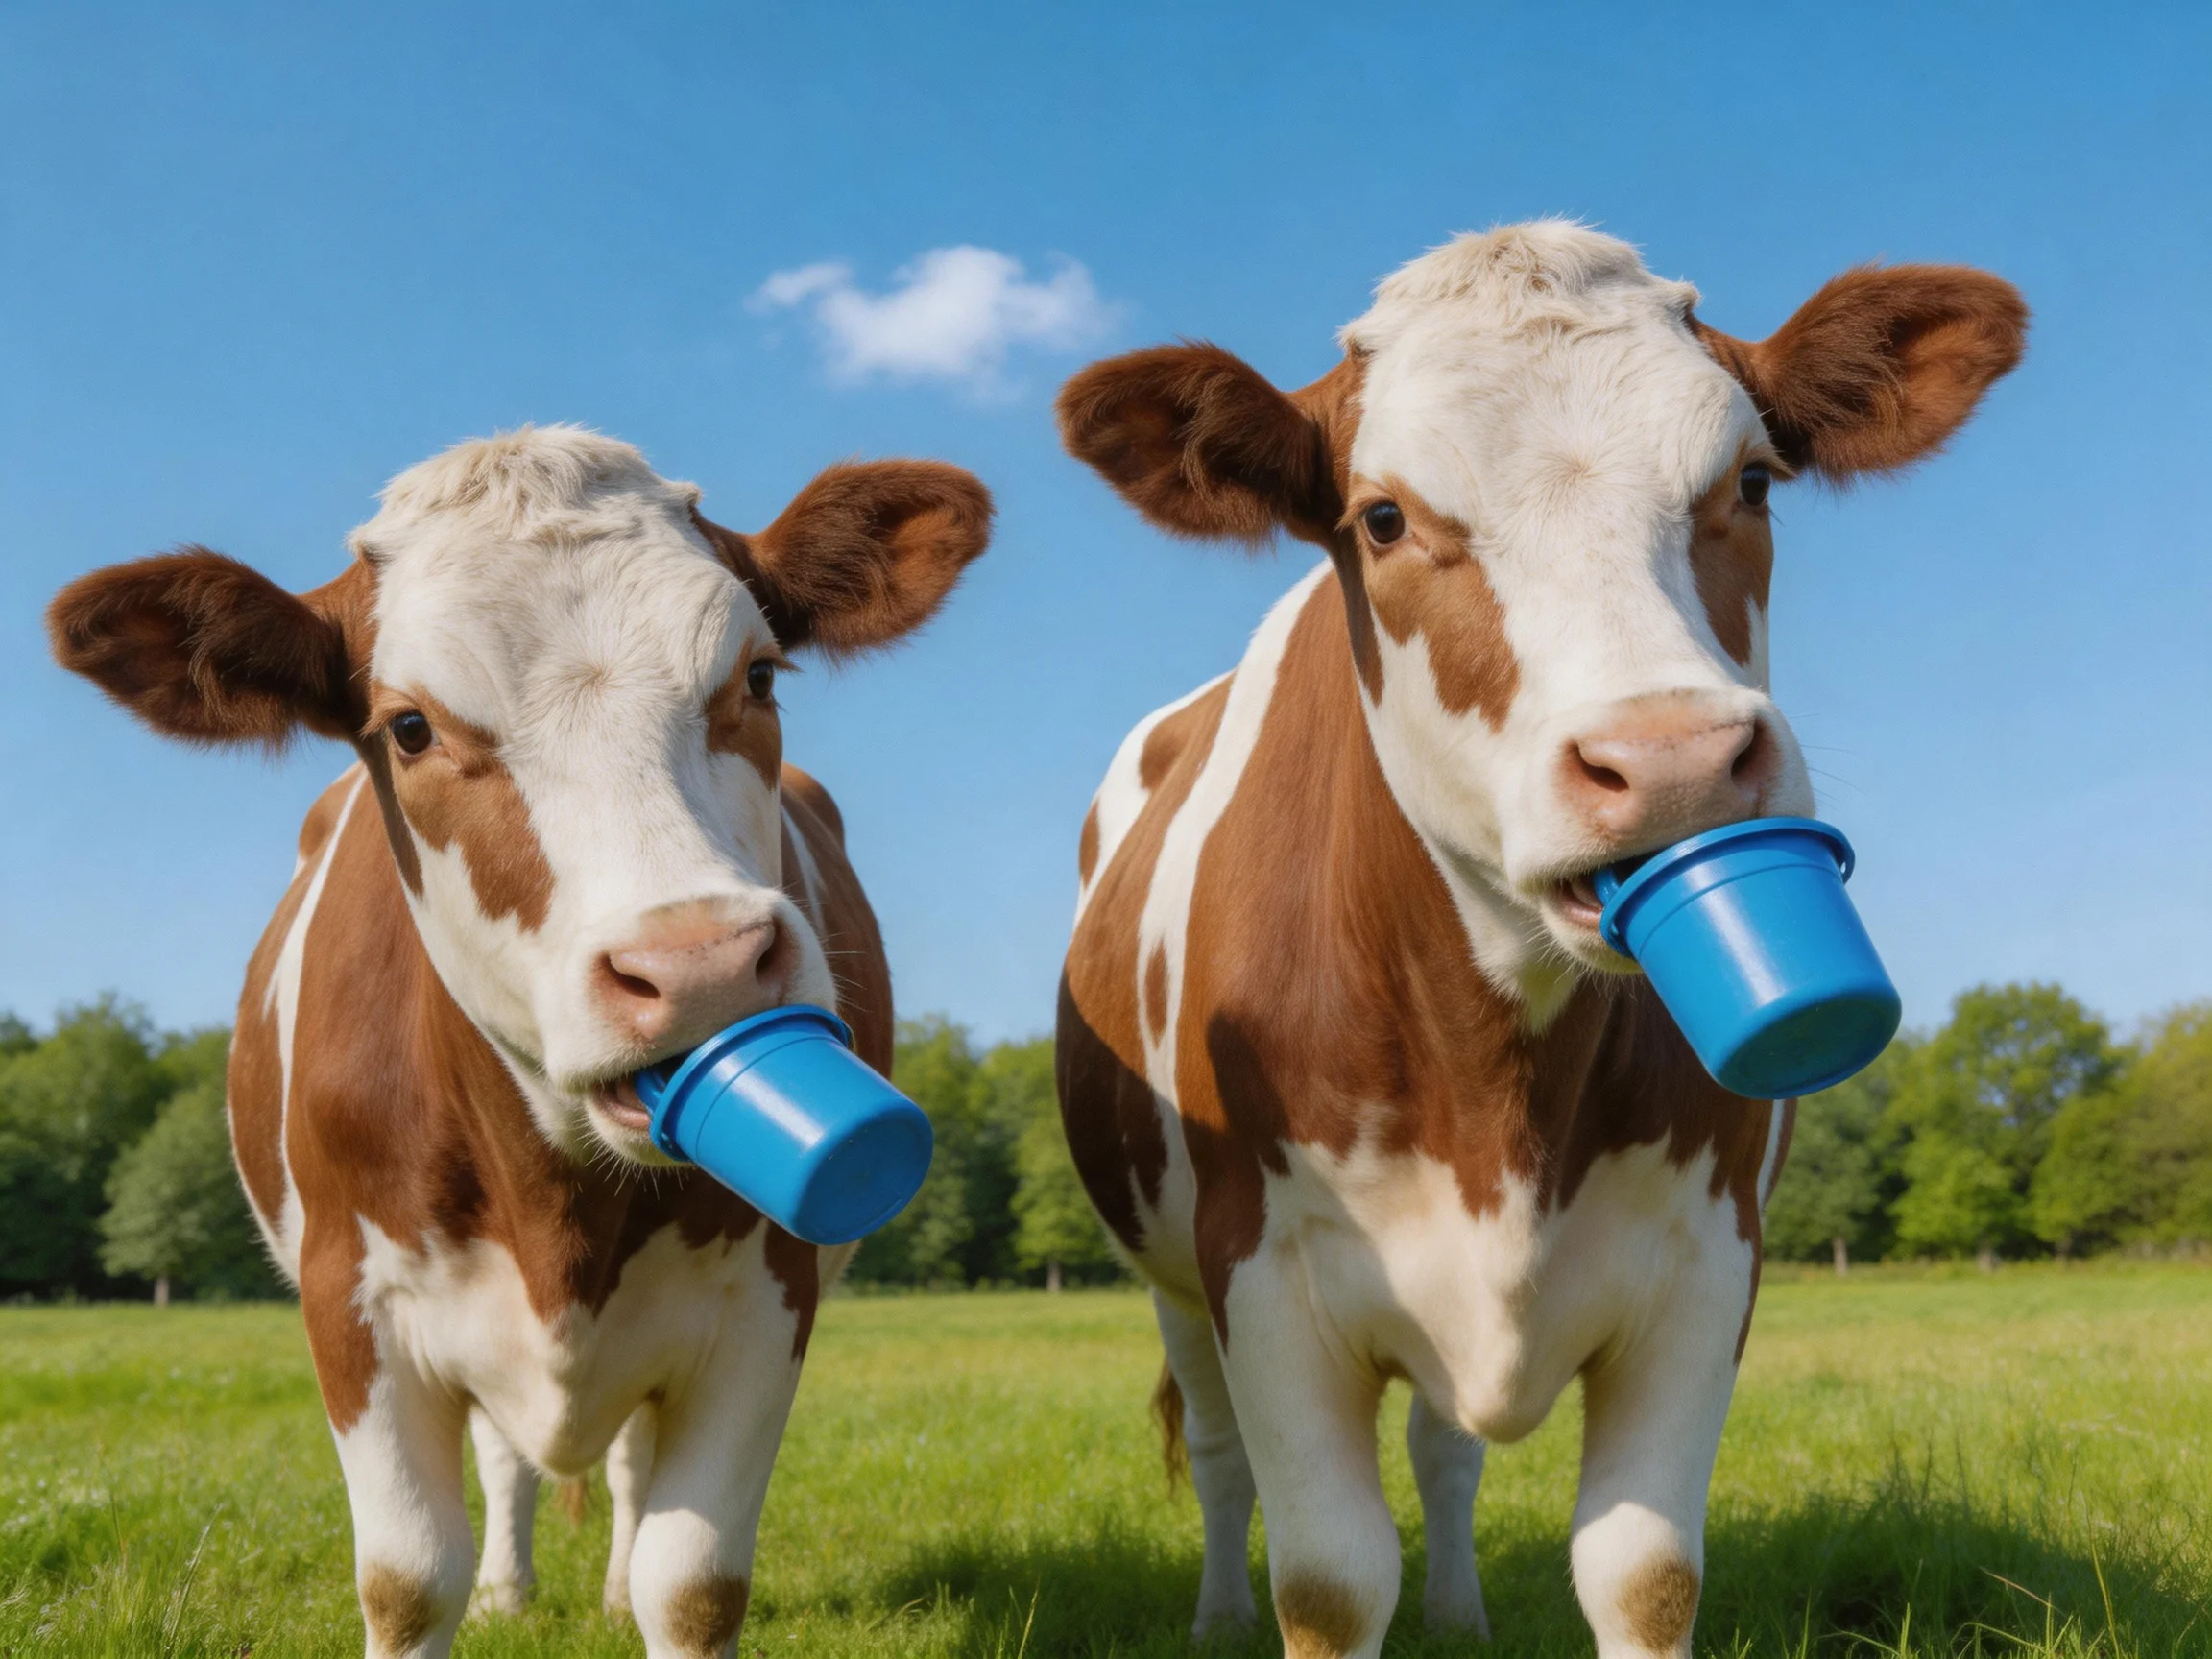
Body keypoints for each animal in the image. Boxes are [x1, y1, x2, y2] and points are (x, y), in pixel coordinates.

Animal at [47, 427, 992, 1659]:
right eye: (408, 727)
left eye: (757, 677)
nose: (697, 965)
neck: (562, 1202)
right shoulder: (352, 1299)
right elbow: (408, 1580)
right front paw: (481, 1589)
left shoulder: (768, 1296)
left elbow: (693, 1584)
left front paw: (640, 1590)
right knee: (506, 1458)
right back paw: (510, 1588)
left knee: (627, 1466)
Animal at [1053, 222, 2024, 1658]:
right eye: (1383, 517)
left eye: (1751, 481)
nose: (1670, 761)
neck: (1495, 1078)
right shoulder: (1262, 1277)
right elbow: (1329, 1580)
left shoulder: (1707, 1263)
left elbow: (1644, 1572)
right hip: (1170, 1279)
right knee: (1221, 1459)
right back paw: (1217, 1619)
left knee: (1447, 1450)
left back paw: (1458, 1614)